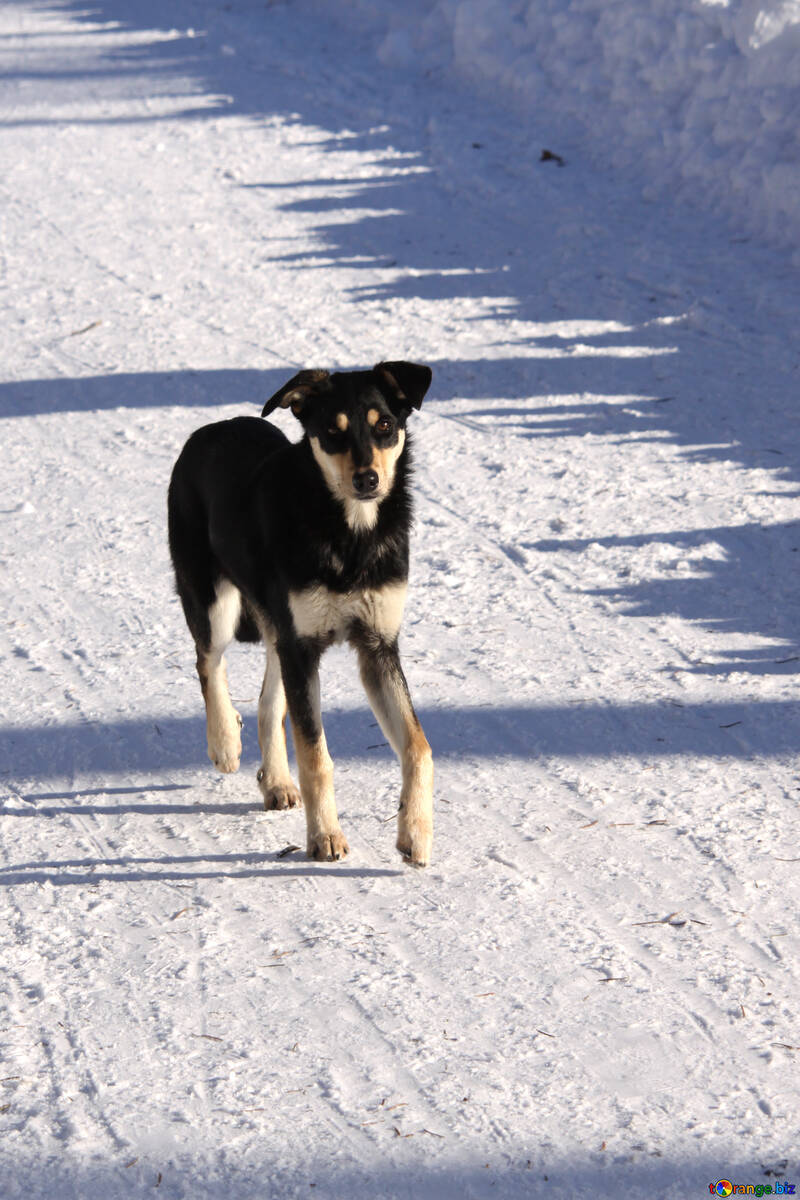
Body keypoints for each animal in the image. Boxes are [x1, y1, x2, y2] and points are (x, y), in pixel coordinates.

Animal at [165, 362, 434, 864]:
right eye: (332, 431)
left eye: (385, 425)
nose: (368, 480)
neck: (350, 537)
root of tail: (210, 429)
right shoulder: (303, 647)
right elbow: (315, 755)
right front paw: (325, 836)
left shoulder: (377, 647)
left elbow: (418, 747)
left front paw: (415, 833)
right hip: (213, 601)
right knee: (209, 662)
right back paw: (224, 741)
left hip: (278, 631)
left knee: (270, 702)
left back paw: (275, 781)